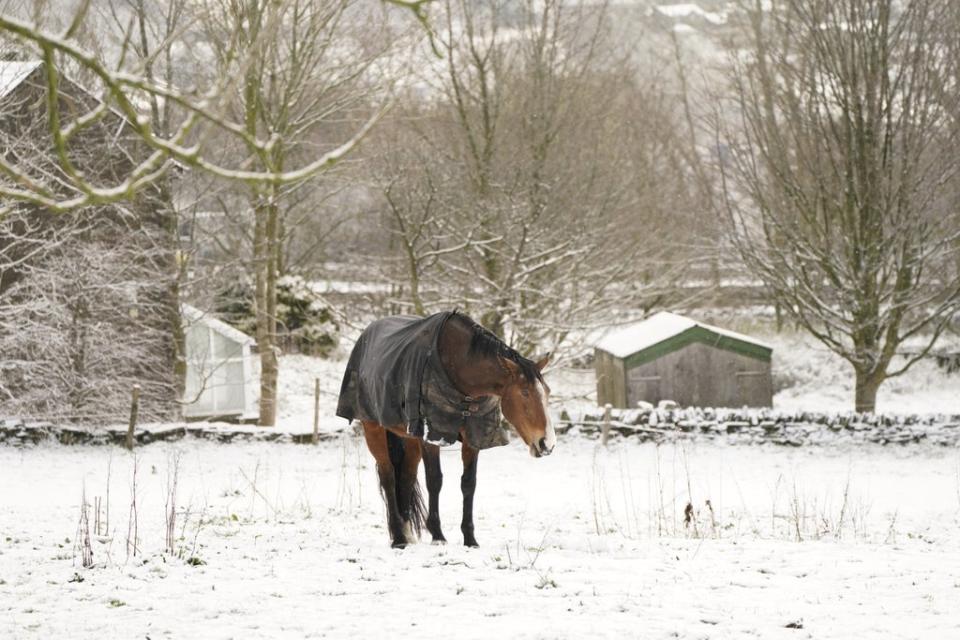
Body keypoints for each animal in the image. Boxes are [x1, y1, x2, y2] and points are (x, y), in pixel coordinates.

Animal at [336, 312, 556, 552]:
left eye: (547, 391)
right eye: (524, 392)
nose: (547, 443)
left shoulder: (473, 438)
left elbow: (468, 483)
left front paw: (470, 539)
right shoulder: (432, 436)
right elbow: (434, 480)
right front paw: (438, 535)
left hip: (408, 438)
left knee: (406, 477)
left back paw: (406, 532)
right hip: (374, 428)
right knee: (388, 477)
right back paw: (399, 538)